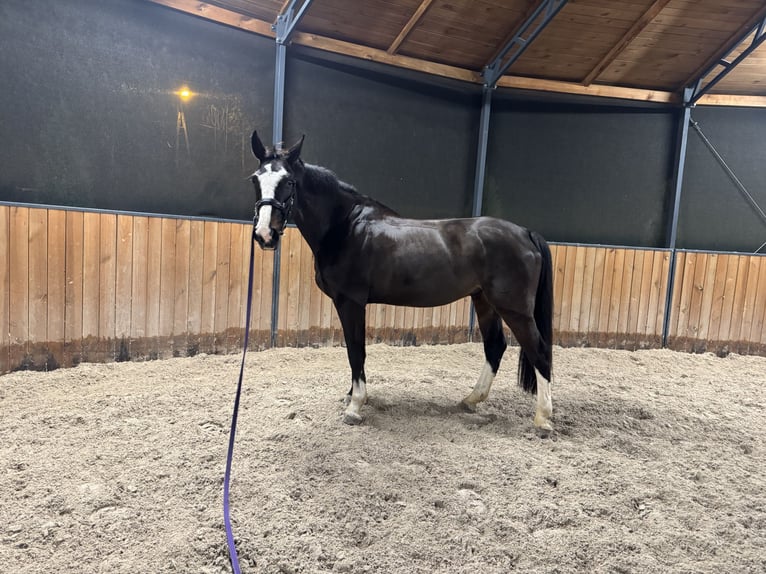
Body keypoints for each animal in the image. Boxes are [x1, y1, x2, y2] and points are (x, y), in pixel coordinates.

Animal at [249, 132, 556, 432]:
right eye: (255, 179)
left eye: (288, 181)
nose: (265, 235)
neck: (345, 226)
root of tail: (526, 233)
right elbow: (354, 350)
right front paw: (351, 396)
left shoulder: (351, 302)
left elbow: (356, 351)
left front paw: (355, 406)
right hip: (484, 301)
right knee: (495, 346)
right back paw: (470, 400)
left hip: (514, 308)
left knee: (539, 351)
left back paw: (542, 418)